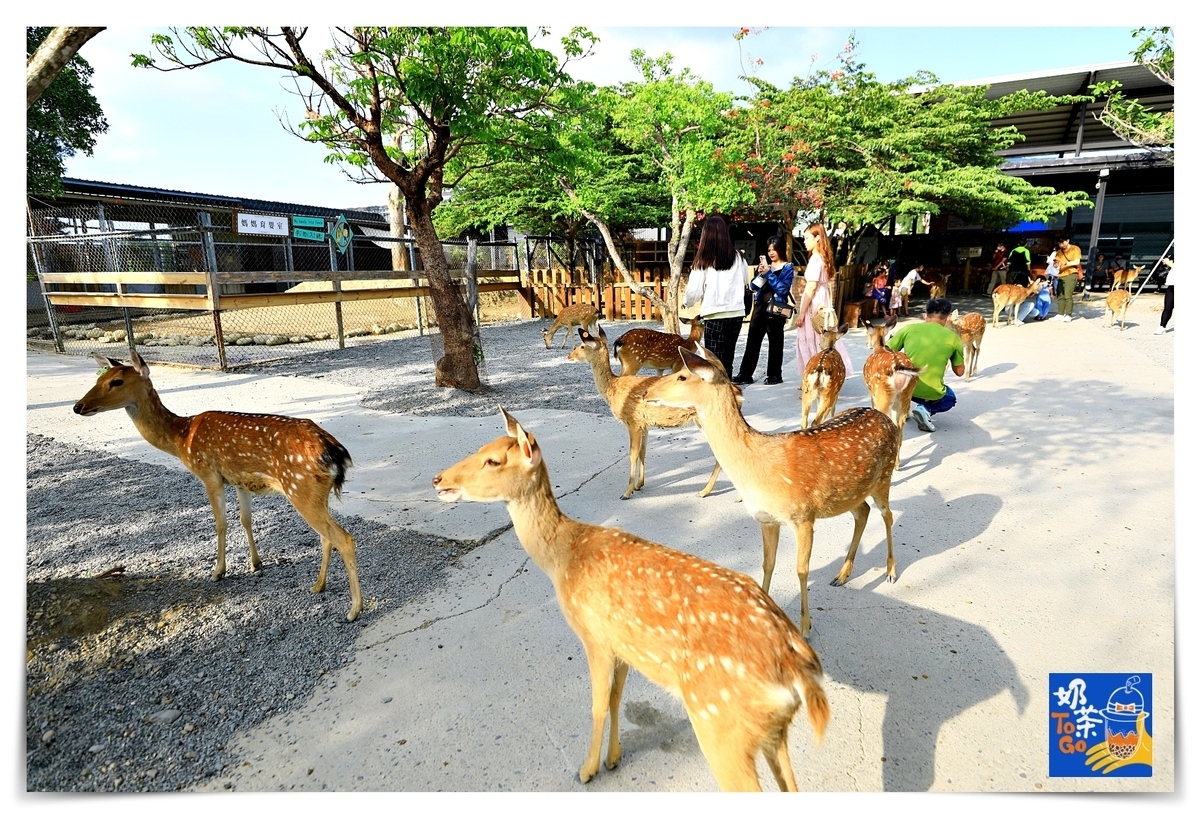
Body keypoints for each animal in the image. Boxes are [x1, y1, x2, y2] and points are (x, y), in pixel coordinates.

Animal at [69, 347, 360, 618]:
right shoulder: (240, 480)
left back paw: (354, 609)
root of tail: (336, 453)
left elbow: (221, 523)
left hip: (299, 488)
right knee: (326, 537)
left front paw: (218, 571)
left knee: (344, 538)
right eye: (99, 378)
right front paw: (255, 564)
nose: (77, 406)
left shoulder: (208, 473)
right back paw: (318, 586)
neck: (182, 439)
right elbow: (245, 519)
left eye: (116, 381)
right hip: (315, 492)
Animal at [434, 407, 835, 791]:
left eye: (493, 461)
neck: (563, 558)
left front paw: (588, 769)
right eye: (482, 447)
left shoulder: (594, 635)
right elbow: (616, 698)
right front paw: (614, 757)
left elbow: (597, 704)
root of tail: (794, 664)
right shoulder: (624, 646)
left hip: (720, 722)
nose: (438, 480)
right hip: (771, 731)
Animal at [648, 347, 902, 633]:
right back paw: (841, 574)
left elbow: (801, 569)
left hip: (884, 476)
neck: (759, 471)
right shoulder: (766, 519)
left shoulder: (804, 516)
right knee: (863, 512)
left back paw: (890, 572)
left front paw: (805, 627)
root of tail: (884, 417)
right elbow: (767, 563)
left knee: (887, 515)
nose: (646, 391)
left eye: (682, 376)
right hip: (853, 492)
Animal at [868, 314, 921, 462]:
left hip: (883, 395)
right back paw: (897, 463)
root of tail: (898, 368)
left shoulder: (872, 393)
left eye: (867, 334)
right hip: (906, 396)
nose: (867, 344)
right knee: (899, 429)